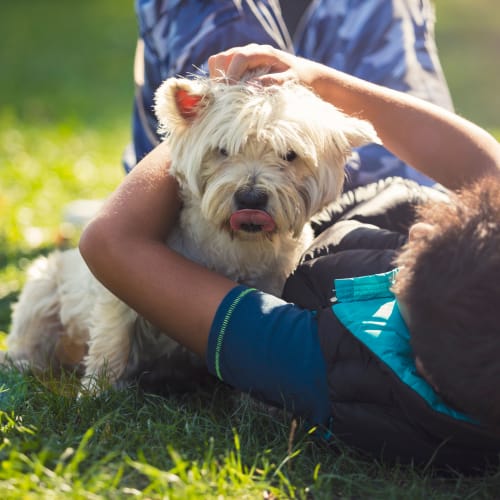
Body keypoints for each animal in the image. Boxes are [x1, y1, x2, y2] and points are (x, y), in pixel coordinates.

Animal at [0, 76, 376, 392]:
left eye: (290, 155)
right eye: (222, 150)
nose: (250, 198)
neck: (237, 244)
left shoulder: (273, 282)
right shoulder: (118, 283)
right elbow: (112, 337)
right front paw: (96, 393)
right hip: (43, 285)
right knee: (31, 336)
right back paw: (23, 367)